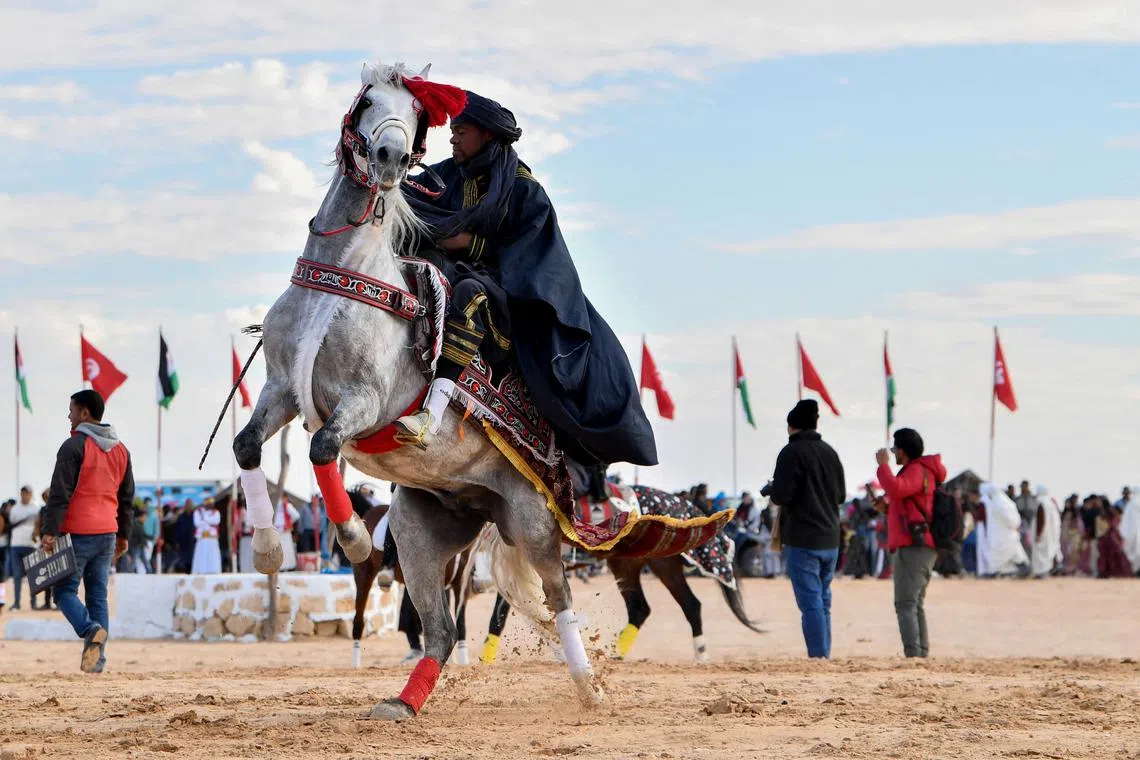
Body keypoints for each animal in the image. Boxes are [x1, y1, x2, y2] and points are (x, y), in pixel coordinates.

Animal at [231, 61, 602, 719]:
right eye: (368, 101)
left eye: (418, 114)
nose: (390, 156)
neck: (345, 275)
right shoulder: (281, 389)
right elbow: (248, 447)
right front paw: (270, 550)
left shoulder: (364, 402)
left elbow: (322, 448)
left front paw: (353, 538)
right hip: (421, 534)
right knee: (442, 631)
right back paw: (404, 703)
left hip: (532, 523)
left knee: (559, 598)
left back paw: (588, 686)